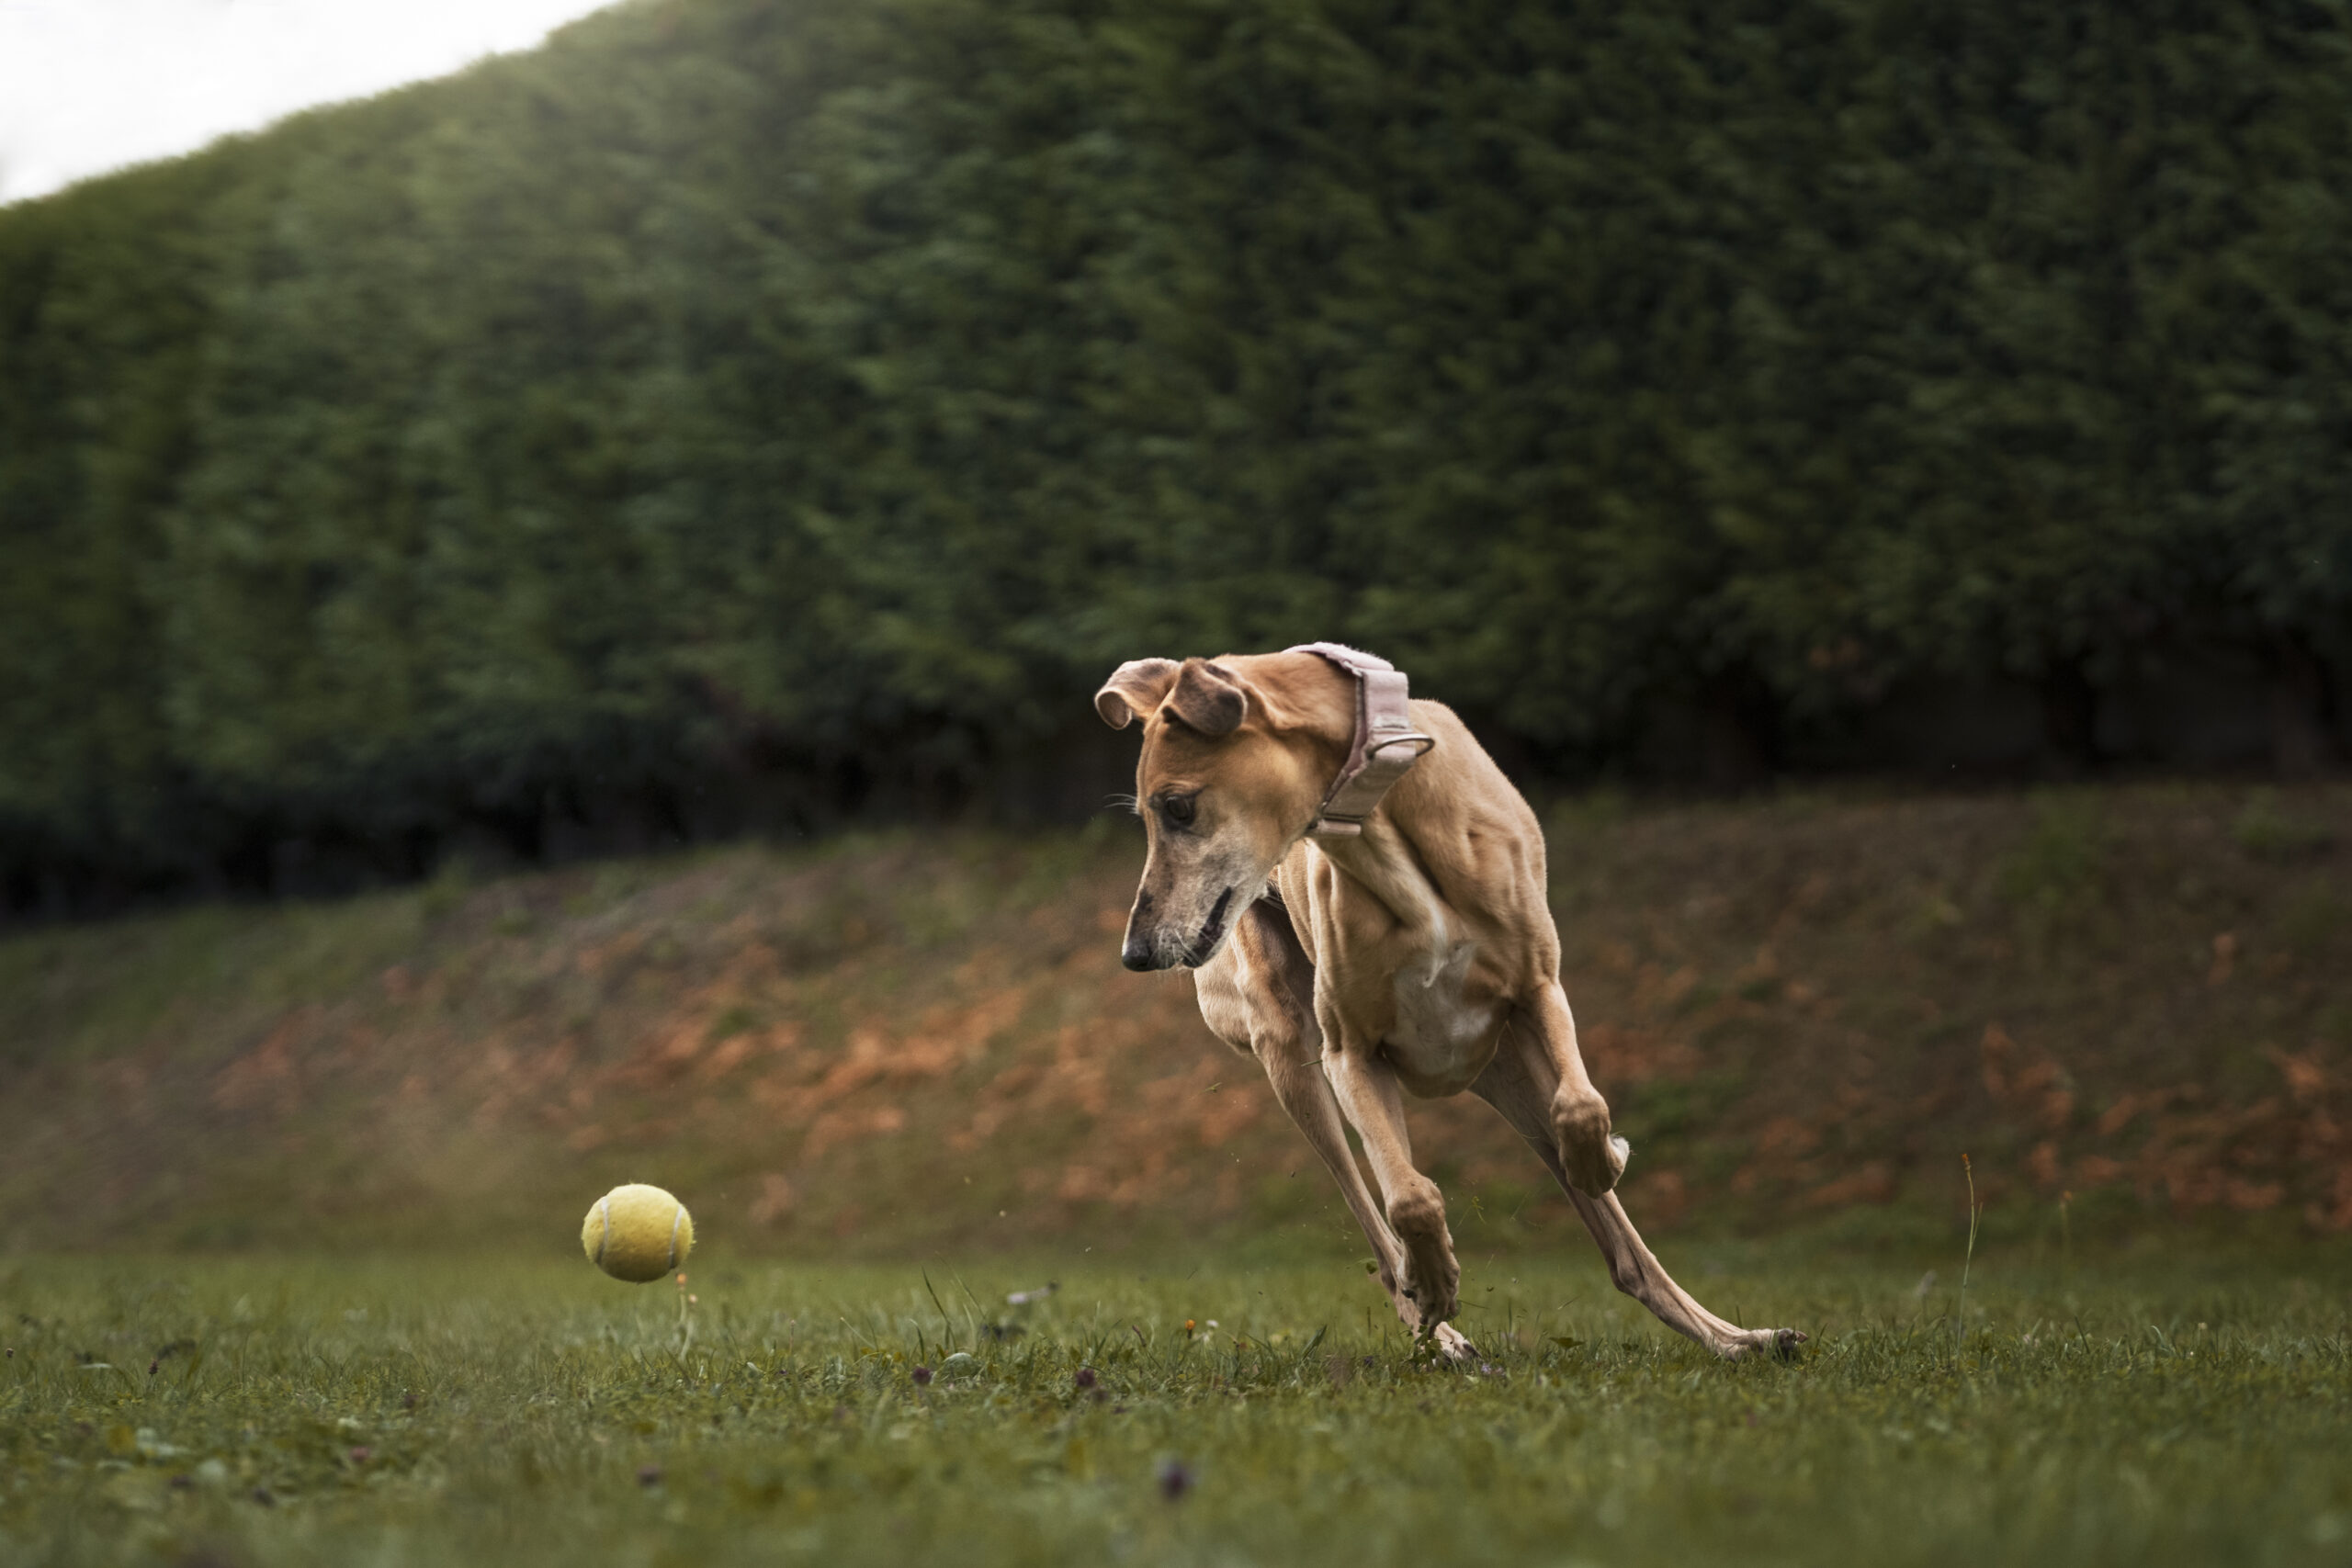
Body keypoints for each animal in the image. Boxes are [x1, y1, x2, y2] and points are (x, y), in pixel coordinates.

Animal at [1095, 644, 1796, 1354]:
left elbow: (1582, 1106)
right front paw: (1434, 1285)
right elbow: (1411, 1199)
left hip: (1509, 1067)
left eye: (1178, 807)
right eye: (1149, 814)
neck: (1387, 831)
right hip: (1292, 1055)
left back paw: (1738, 1339)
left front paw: (1607, 1159)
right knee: (1376, 1220)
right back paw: (1439, 1330)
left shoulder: (1539, 992)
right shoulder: (1352, 1054)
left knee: (1624, 1250)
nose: (1137, 953)